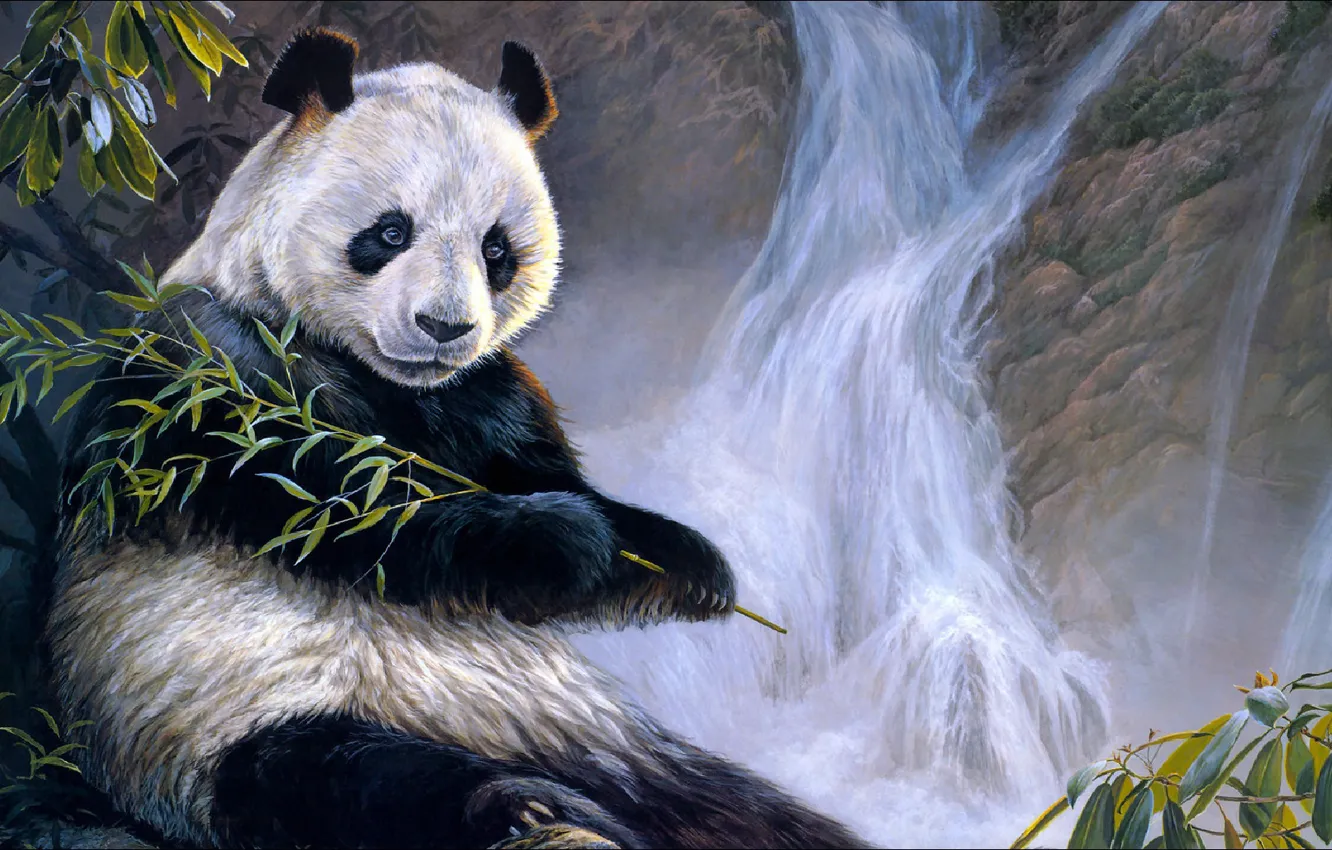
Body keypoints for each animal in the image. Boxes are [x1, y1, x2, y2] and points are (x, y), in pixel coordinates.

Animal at [46, 26, 871, 850]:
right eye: (389, 231)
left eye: (496, 250)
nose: (444, 327)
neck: (389, 380)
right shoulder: (213, 374)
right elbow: (350, 514)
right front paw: (567, 536)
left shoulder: (490, 395)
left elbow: (540, 493)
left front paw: (685, 561)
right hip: (224, 717)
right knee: (352, 779)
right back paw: (520, 804)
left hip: (611, 738)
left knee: (737, 809)